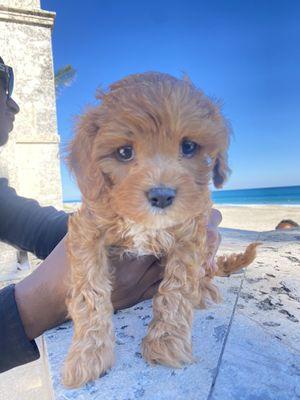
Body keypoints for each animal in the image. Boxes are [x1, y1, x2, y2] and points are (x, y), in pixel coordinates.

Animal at [62, 71, 258, 388]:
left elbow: (177, 289)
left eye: (188, 147)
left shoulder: (191, 232)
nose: (162, 195)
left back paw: (205, 289)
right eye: (124, 152)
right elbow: (89, 293)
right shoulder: (87, 230)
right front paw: (88, 354)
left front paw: (166, 342)